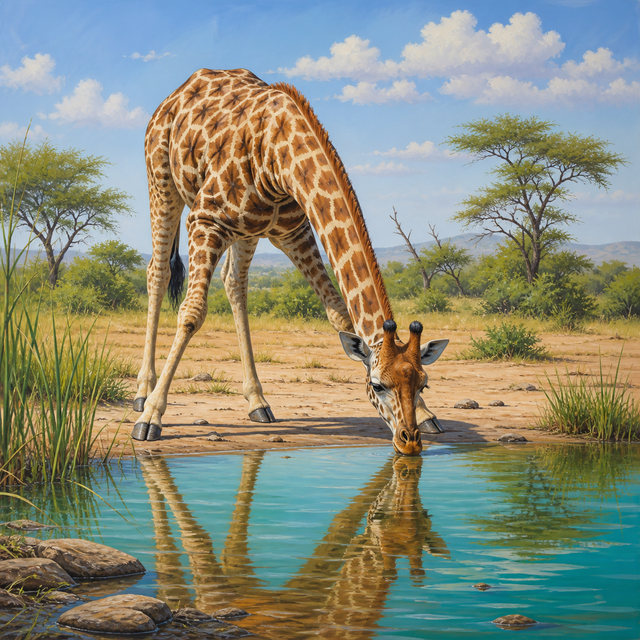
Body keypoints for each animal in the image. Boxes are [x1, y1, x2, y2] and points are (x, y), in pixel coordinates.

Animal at [132, 68, 449, 456]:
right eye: (377, 385)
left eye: (423, 383)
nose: (409, 441)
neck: (279, 157)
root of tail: (173, 96)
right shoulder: (205, 221)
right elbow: (192, 314)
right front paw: (151, 418)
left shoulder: (295, 231)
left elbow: (339, 314)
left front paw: (428, 415)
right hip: (162, 183)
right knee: (158, 272)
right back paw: (142, 393)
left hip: (247, 230)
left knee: (234, 284)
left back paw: (258, 402)